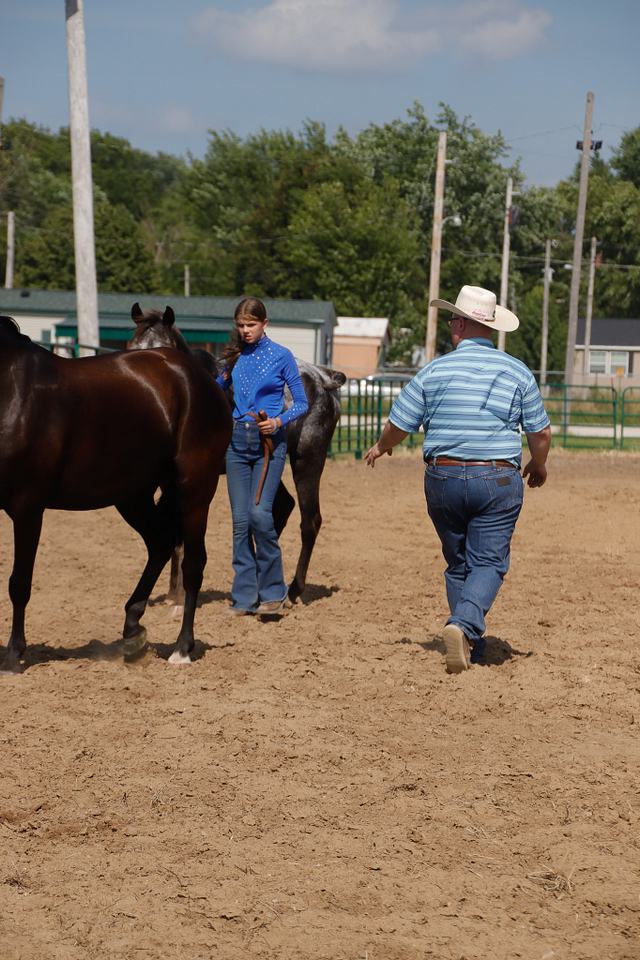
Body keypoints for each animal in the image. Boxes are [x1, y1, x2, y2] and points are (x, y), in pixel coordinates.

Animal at [0, 315, 232, 673]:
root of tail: (203, 378)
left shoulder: (27, 507)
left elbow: (19, 582)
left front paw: (13, 654)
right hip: (133, 496)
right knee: (161, 544)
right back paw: (133, 630)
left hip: (194, 488)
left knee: (193, 563)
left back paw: (181, 647)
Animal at [129, 303, 346, 606]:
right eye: (132, 348)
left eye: (166, 350)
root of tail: (323, 377)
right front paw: (173, 593)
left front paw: (181, 596)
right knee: (281, 509)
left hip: (307, 461)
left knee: (310, 520)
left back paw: (293, 591)